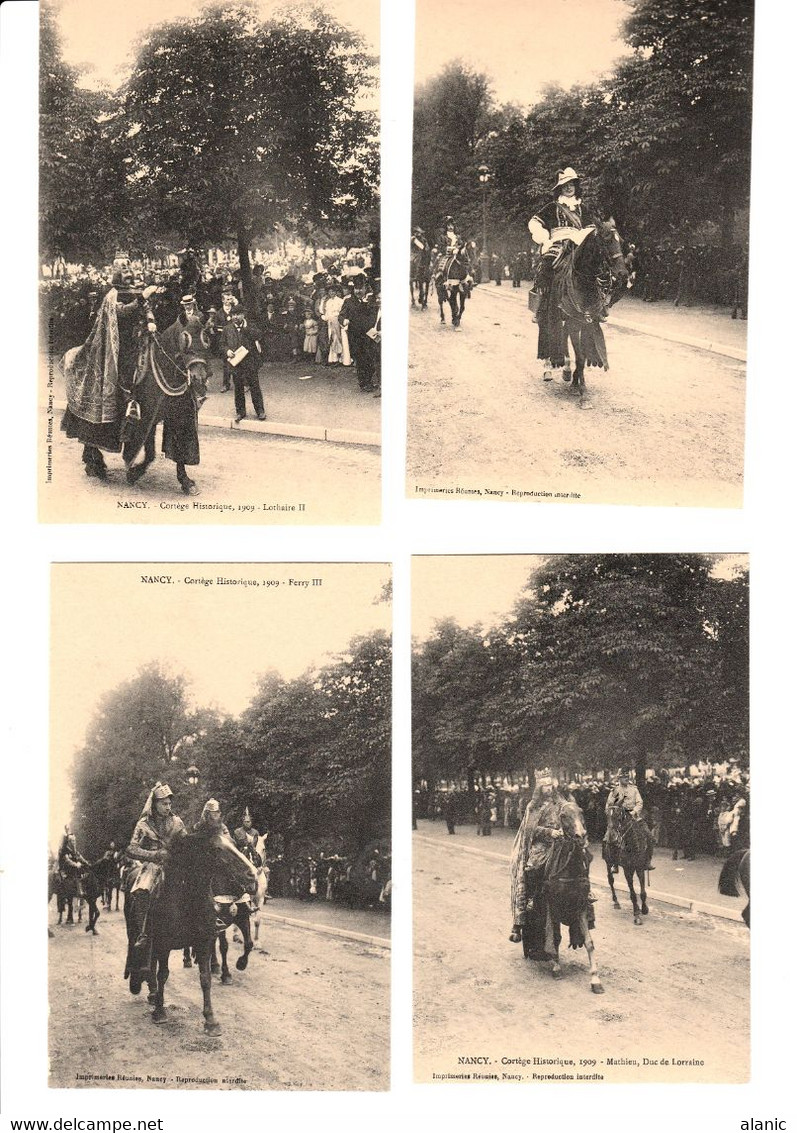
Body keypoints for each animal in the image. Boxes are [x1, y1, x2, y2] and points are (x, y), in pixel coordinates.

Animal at [124, 829, 258, 1033]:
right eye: (216, 849)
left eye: (236, 845)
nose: (253, 877)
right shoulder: (163, 944)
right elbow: (163, 974)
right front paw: (159, 1012)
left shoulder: (210, 935)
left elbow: (207, 976)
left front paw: (211, 1020)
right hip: (136, 933)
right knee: (144, 955)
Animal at [521, 797, 603, 992]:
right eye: (564, 815)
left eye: (581, 812)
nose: (581, 836)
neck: (569, 870)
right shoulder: (553, 906)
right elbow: (555, 938)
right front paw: (556, 967)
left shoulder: (581, 906)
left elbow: (589, 942)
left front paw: (595, 979)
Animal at [541, 218, 630, 410]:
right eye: (606, 240)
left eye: (621, 241)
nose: (623, 274)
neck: (583, 281)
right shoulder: (575, 322)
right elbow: (580, 357)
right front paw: (583, 394)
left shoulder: (586, 321)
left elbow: (582, 356)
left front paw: (576, 383)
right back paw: (549, 368)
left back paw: (567, 370)